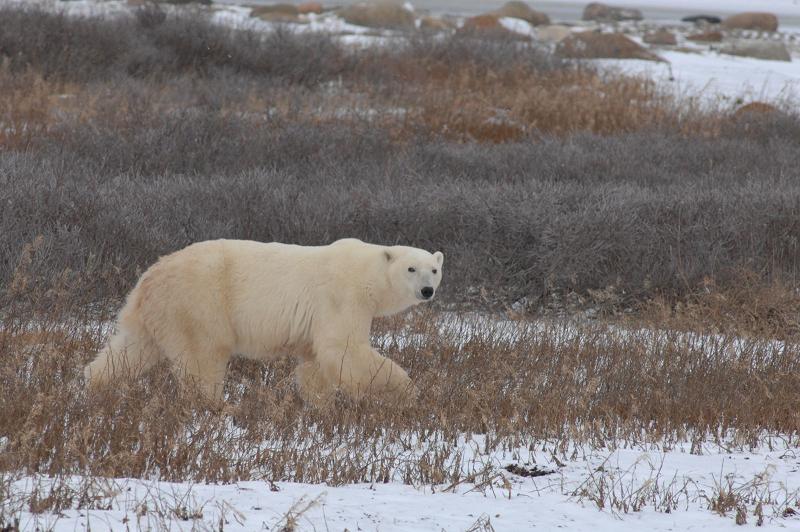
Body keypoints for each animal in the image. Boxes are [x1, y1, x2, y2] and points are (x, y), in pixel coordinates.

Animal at [83, 238, 444, 404]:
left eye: (434, 269)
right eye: (411, 268)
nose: (427, 290)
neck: (367, 273)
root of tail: (151, 275)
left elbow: (315, 361)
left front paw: (320, 405)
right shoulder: (342, 297)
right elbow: (342, 349)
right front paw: (406, 390)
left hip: (156, 313)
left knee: (129, 350)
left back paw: (94, 387)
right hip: (199, 301)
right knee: (203, 356)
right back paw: (216, 406)